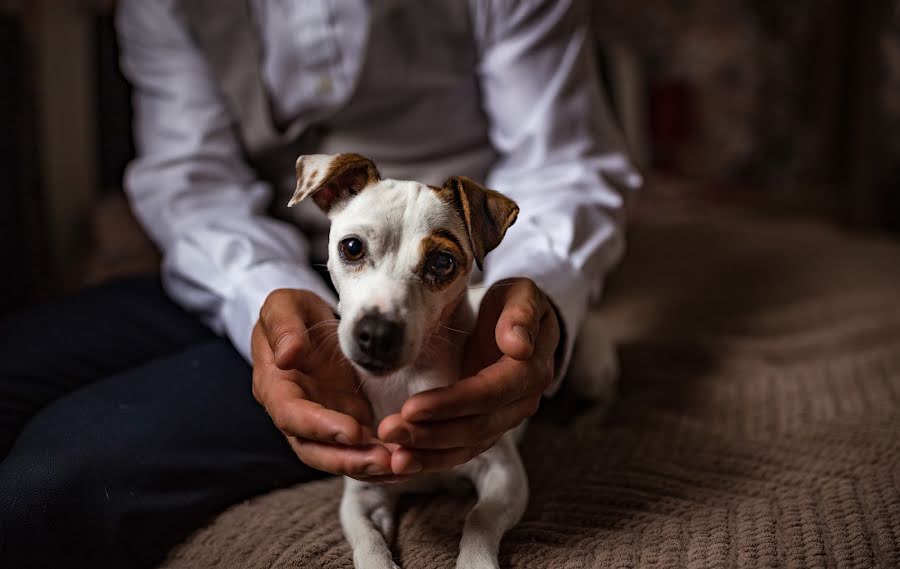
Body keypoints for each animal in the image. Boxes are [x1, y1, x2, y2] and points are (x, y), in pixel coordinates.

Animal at [292, 153, 616, 564]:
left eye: (442, 263)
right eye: (351, 247)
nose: (377, 333)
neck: (409, 380)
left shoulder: (504, 476)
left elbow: (479, 521)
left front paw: (476, 561)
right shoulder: (363, 494)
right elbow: (369, 544)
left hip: (590, 370)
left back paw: (586, 425)